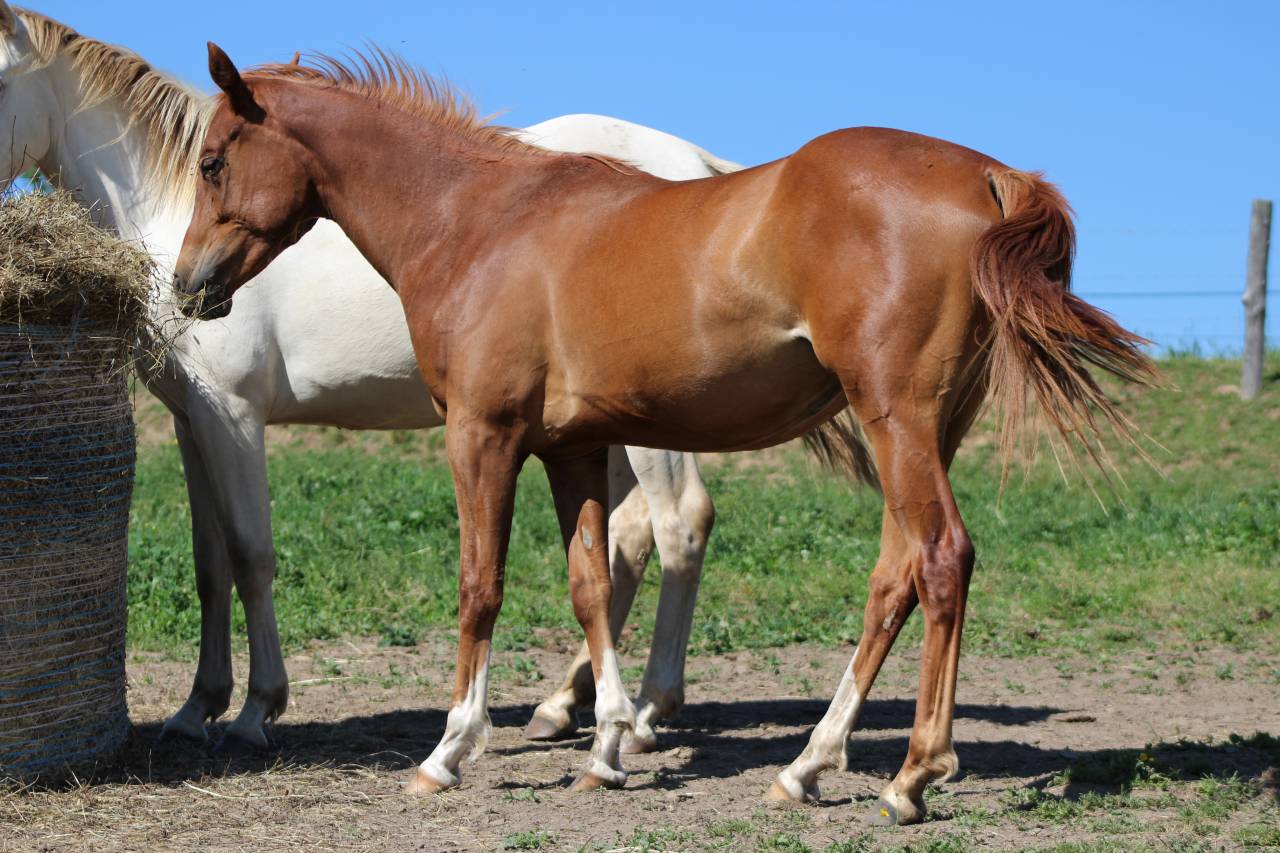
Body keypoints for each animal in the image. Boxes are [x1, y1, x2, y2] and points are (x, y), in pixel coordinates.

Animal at [0, 4, 744, 754]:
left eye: (214, 165)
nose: (194, 286)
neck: (165, 214)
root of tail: (696, 163)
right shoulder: (192, 422)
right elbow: (210, 564)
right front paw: (196, 706)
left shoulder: (232, 418)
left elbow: (251, 556)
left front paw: (256, 708)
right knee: (625, 542)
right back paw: (564, 704)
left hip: (649, 429)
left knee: (678, 527)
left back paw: (646, 710)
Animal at [173, 45, 1153, 823]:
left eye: (214, 160)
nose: (187, 284)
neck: (479, 220)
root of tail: (989, 175)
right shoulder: (571, 447)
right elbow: (591, 584)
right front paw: (605, 745)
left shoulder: (483, 437)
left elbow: (480, 585)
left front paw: (449, 750)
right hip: (923, 429)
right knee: (895, 574)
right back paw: (806, 765)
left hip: (898, 421)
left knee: (942, 557)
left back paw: (912, 774)